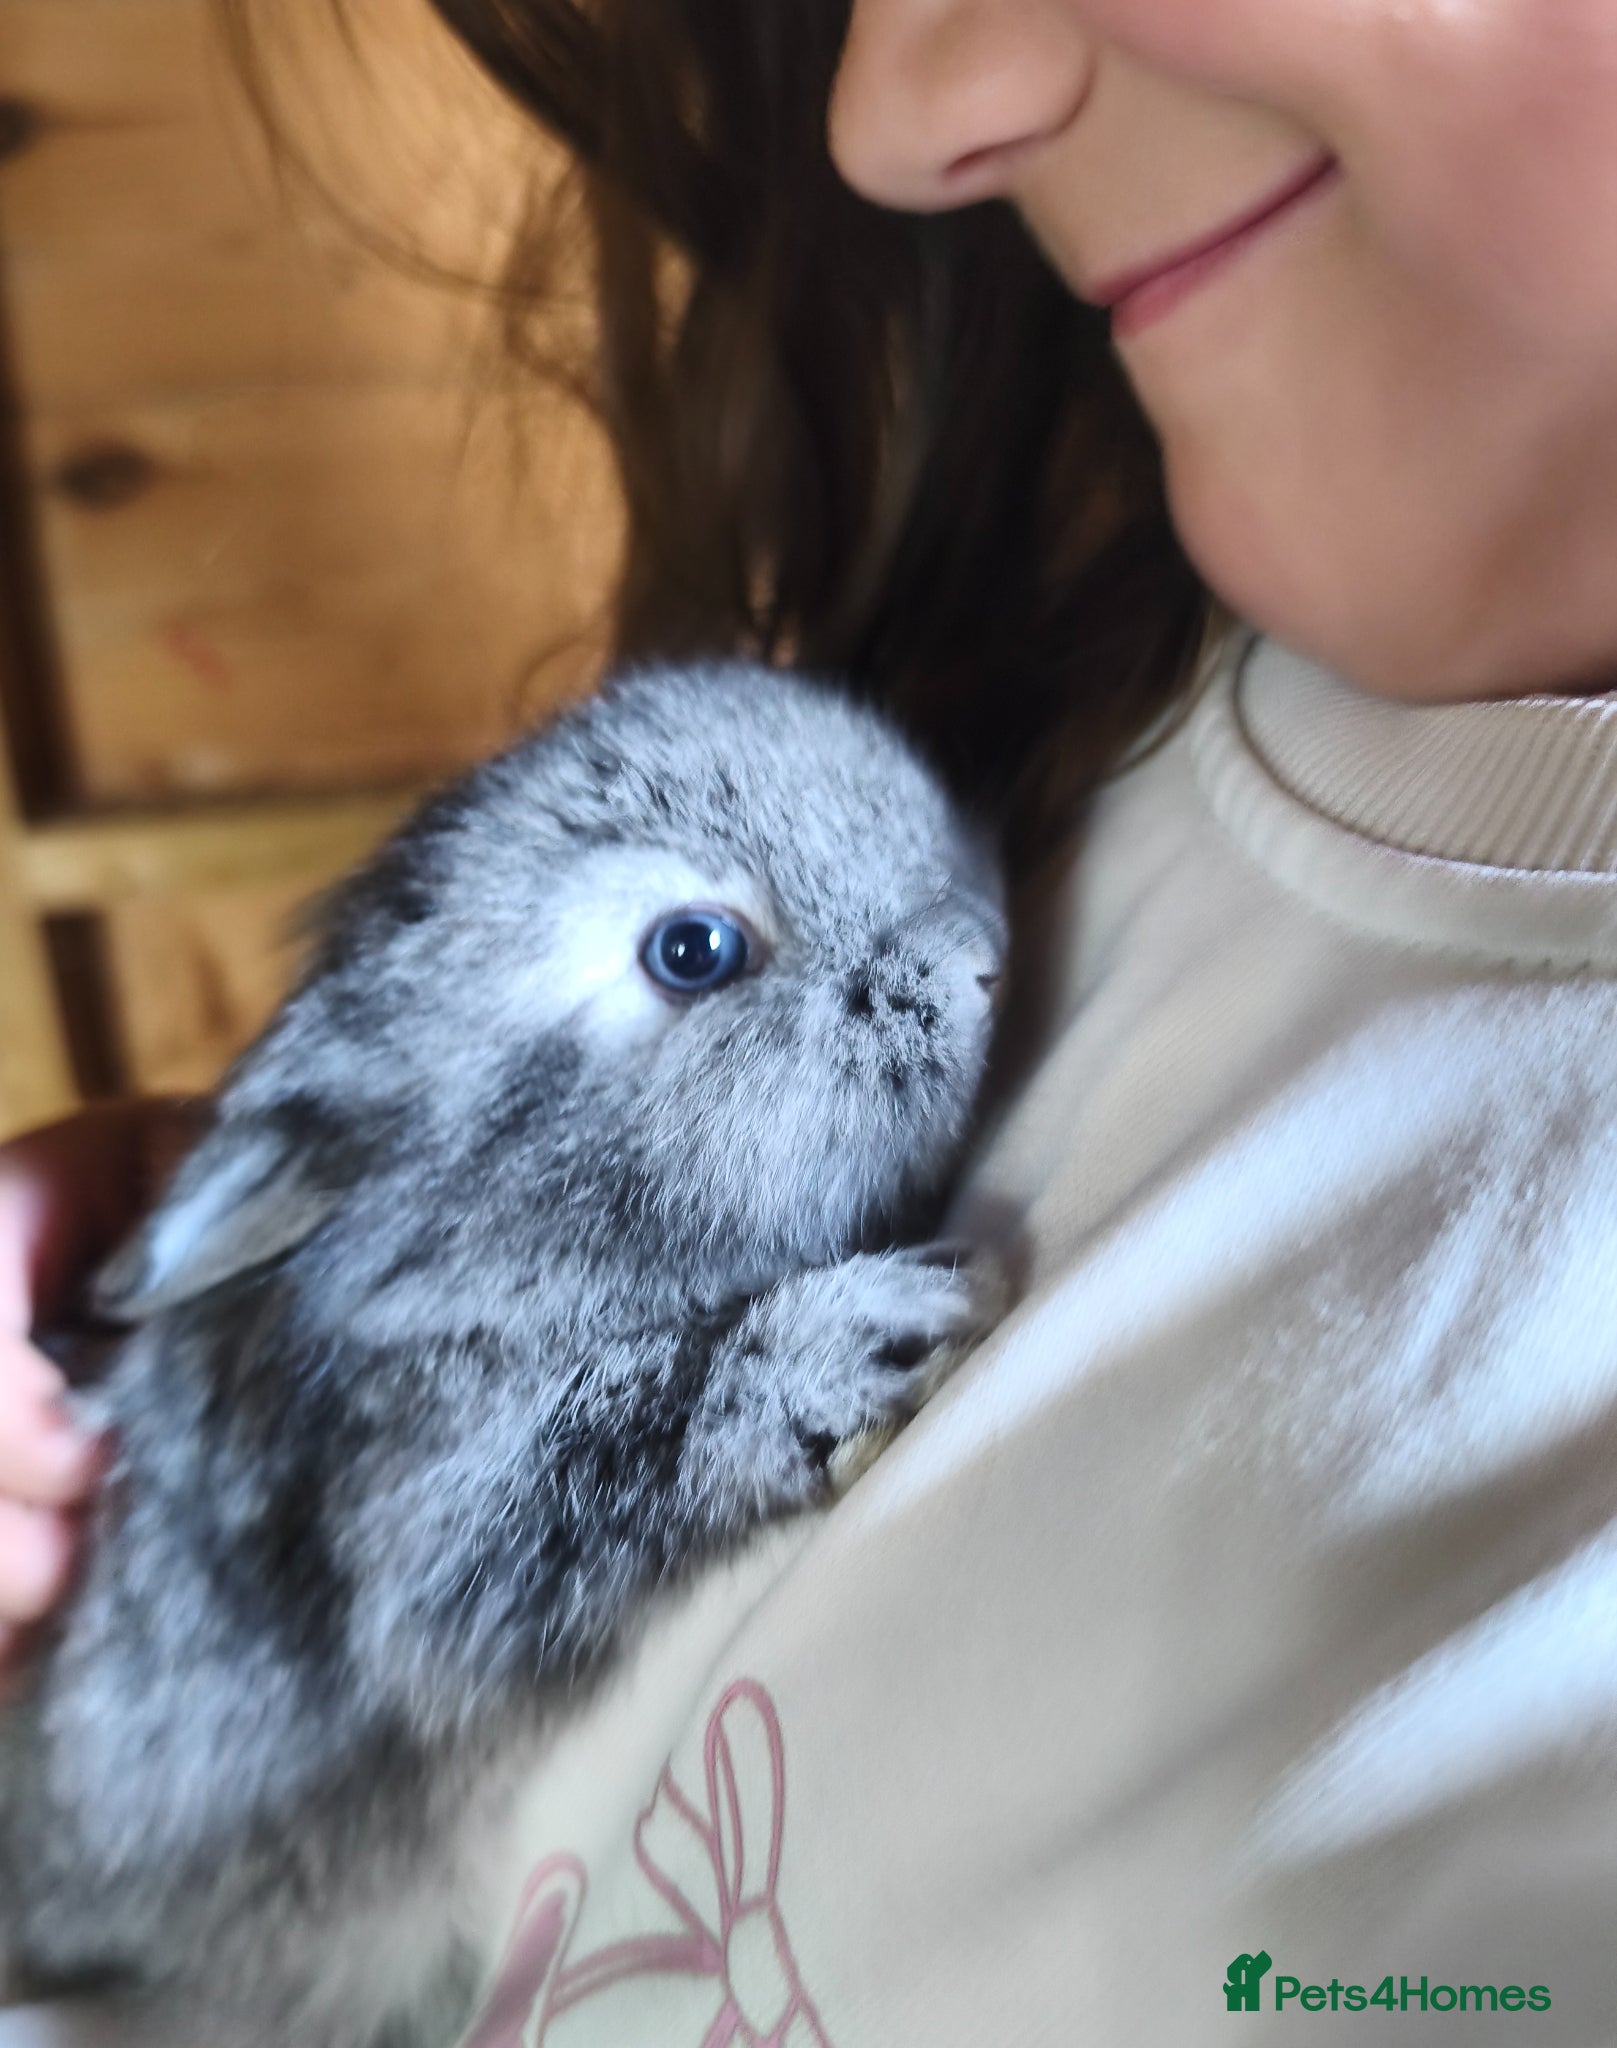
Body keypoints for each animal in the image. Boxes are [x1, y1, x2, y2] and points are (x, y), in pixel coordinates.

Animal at [0, 659, 1006, 2048]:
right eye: (693, 951)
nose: (981, 957)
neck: (473, 1243)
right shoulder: (422, 1544)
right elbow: (610, 1448)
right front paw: (863, 1340)